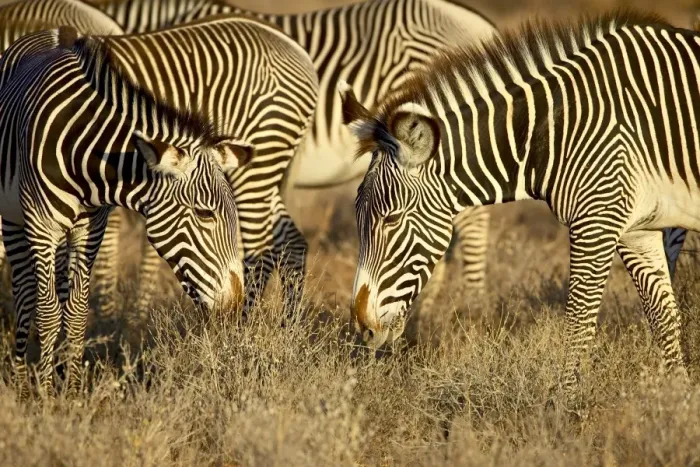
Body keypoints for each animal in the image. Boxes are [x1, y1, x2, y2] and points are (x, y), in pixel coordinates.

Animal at [0, 26, 250, 396]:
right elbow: (47, 311)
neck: (88, 156)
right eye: (205, 214)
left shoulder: (91, 228)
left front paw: (72, 391)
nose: (236, 305)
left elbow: (76, 310)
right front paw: (44, 395)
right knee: (25, 293)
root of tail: (51, 31)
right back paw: (21, 380)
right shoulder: (42, 227)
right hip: (15, 219)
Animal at [342, 11, 699, 393]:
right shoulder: (636, 229)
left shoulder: (597, 220)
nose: (362, 329)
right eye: (358, 218)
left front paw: (565, 404)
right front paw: (676, 397)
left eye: (391, 220)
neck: (559, 127)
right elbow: (663, 316)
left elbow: (578, 324)